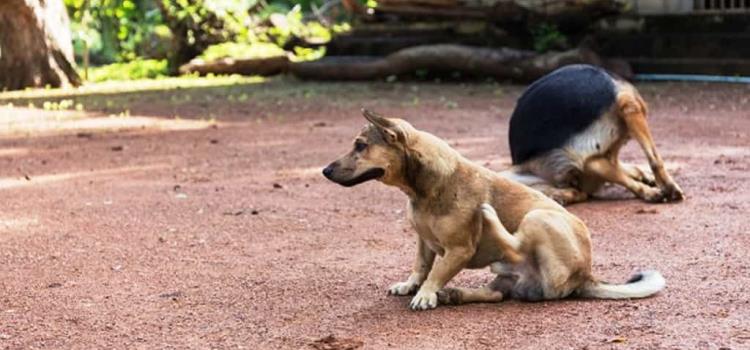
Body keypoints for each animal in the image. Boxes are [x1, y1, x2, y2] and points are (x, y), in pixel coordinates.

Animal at [322, 108, 664, 310]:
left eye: (360, 146)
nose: (324, 170)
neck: (422, 190)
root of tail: (585, 277)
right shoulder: (423, 242)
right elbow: (420, 265)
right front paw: (412, 285)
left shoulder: (458, 250)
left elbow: (437, 270)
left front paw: (425, 294)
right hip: (503, 274)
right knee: (498, 291)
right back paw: (457, 295)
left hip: (537, 216)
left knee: (514, 245)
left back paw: (487, 217)